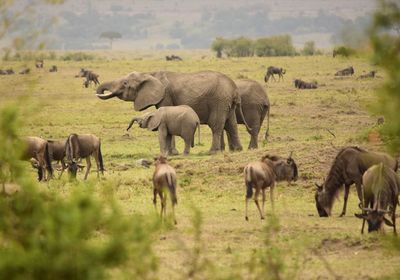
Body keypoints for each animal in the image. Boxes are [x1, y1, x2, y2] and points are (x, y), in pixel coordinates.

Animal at [96, 70, 250, 153]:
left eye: (125, 83)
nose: (127, 130)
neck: (149, 74)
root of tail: (234, 89)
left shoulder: (165, 96)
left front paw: (172, 153)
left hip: (219, 100)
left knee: (216, 125)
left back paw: (212, 152)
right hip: (227, 103)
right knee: (231, 124)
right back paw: (238, 150)